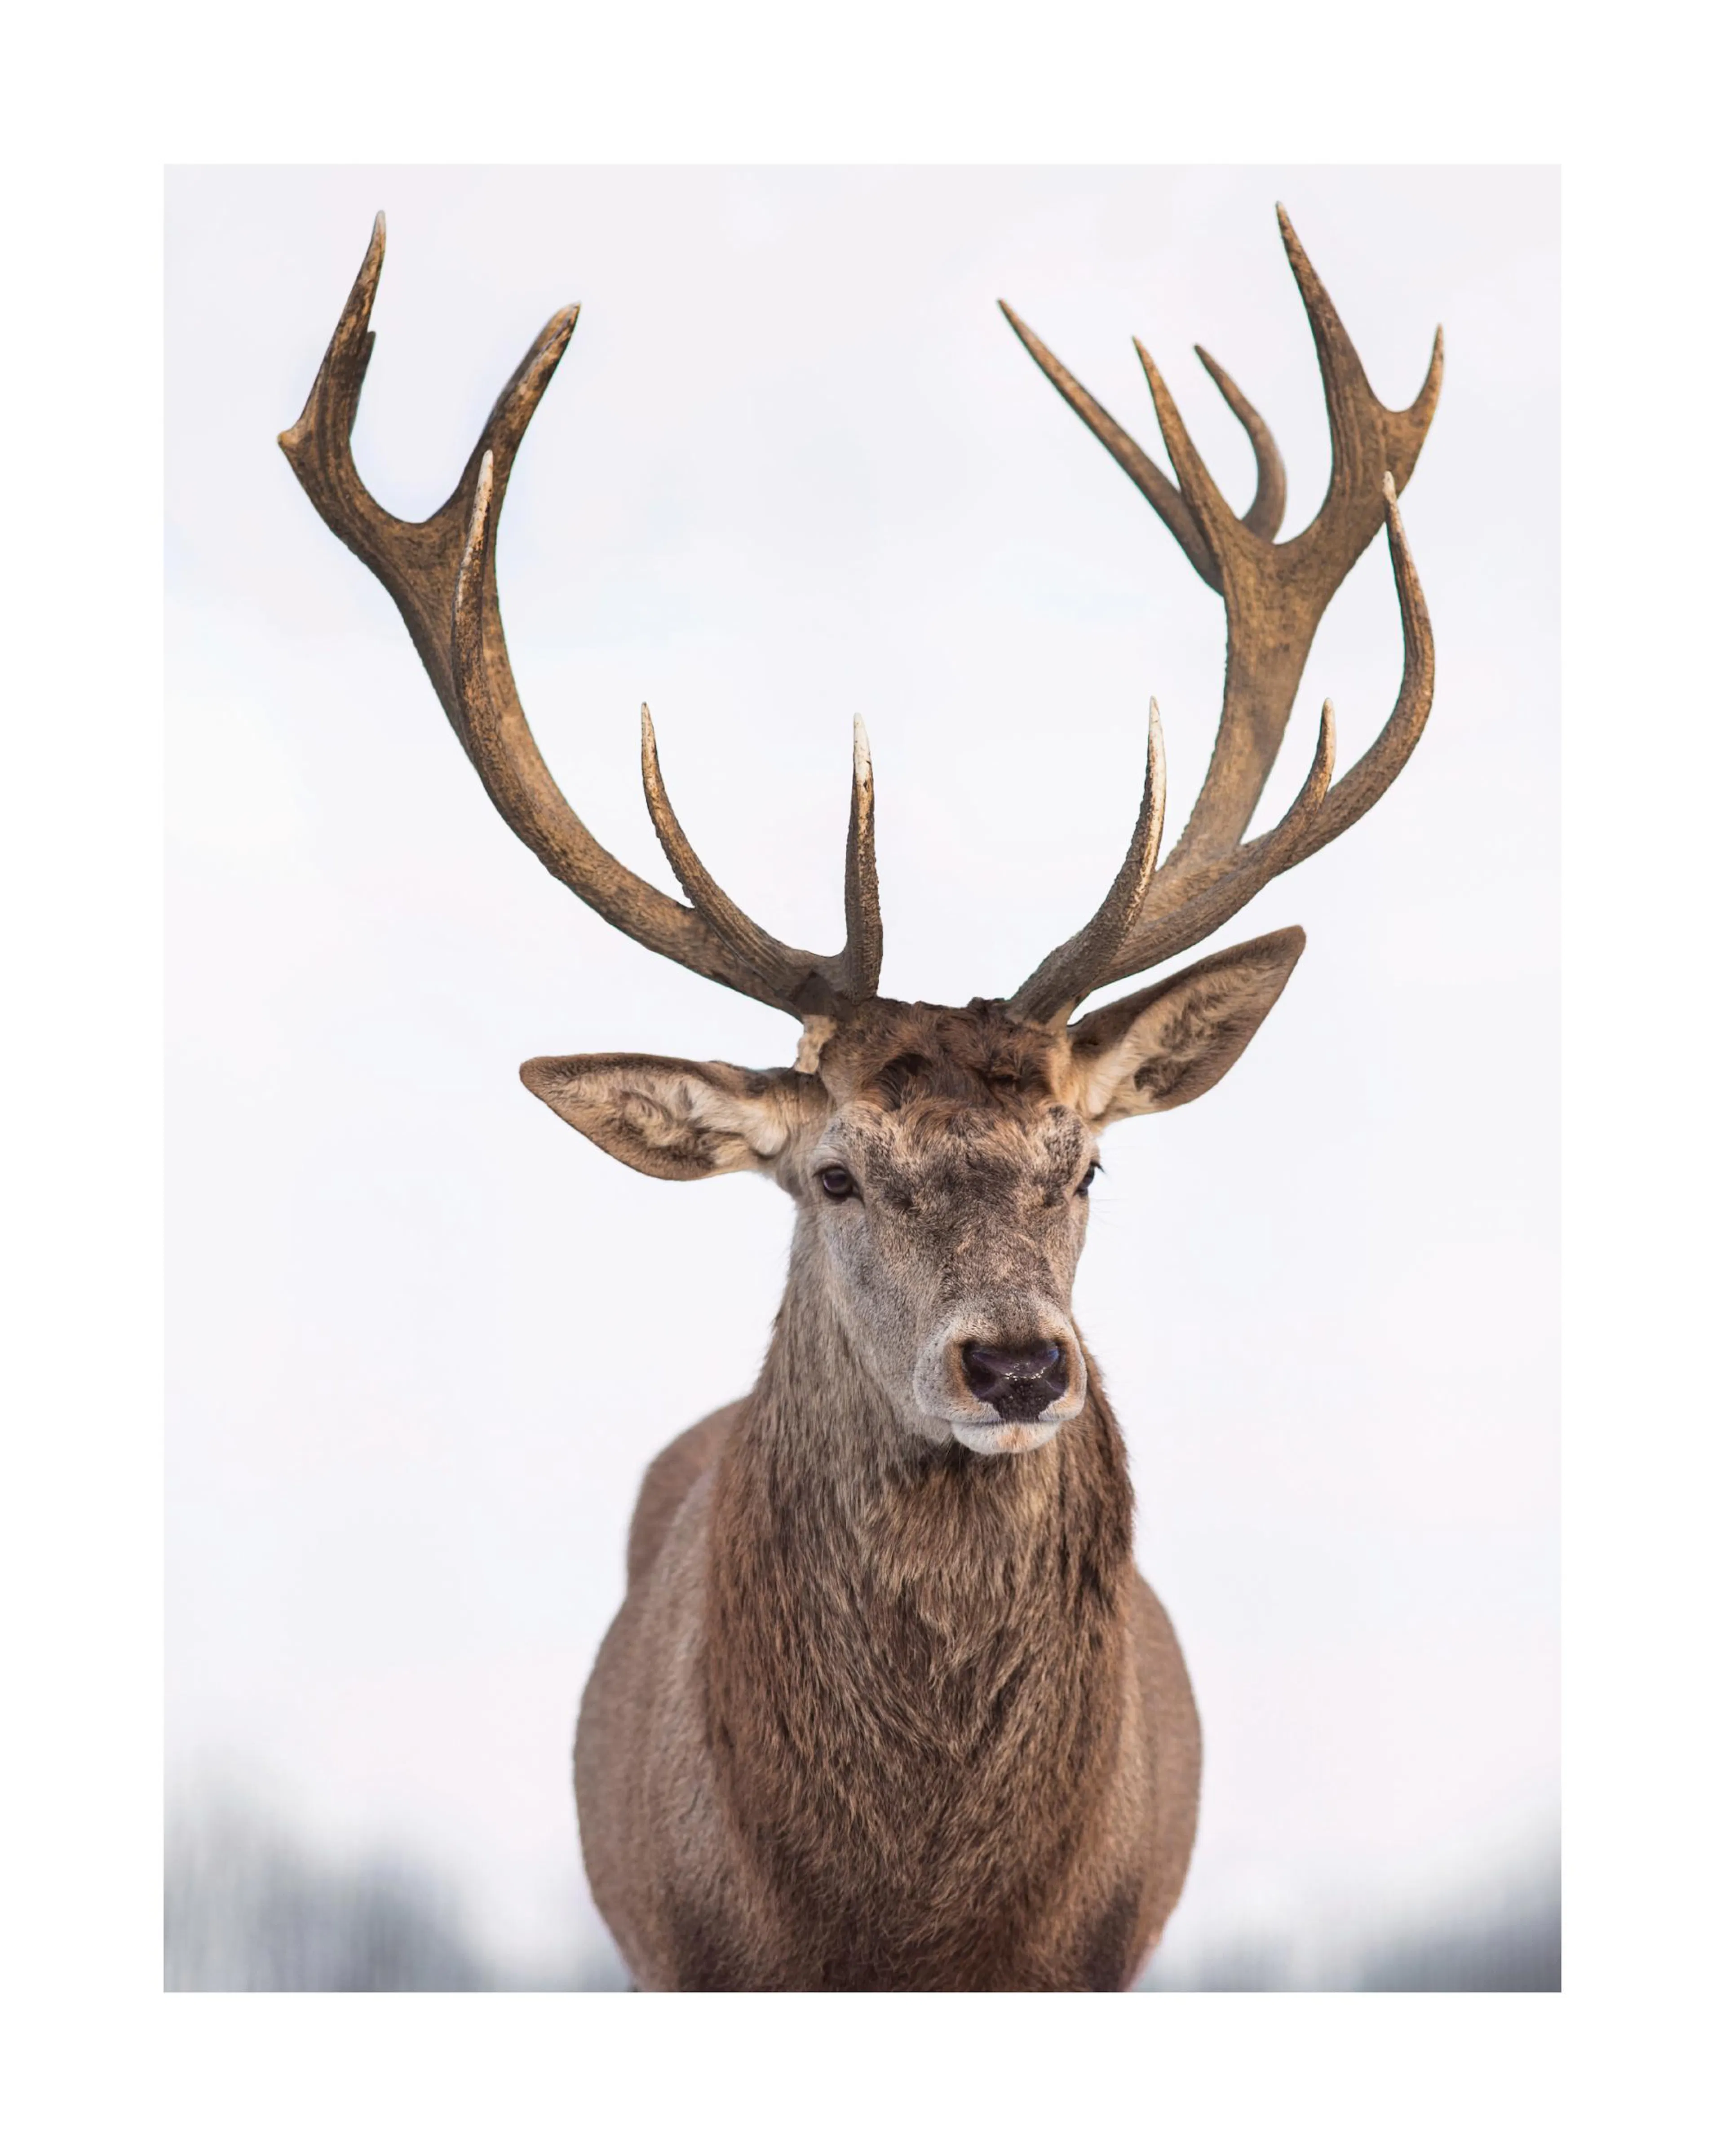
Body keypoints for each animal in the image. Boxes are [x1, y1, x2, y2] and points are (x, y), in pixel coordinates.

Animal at [280, 205, 1439, 1991]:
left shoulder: (1103, 1949)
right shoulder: (680, 1946)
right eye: (833, 1172)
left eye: (1084, 1164)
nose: (1017, 1362)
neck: (906, 1918)